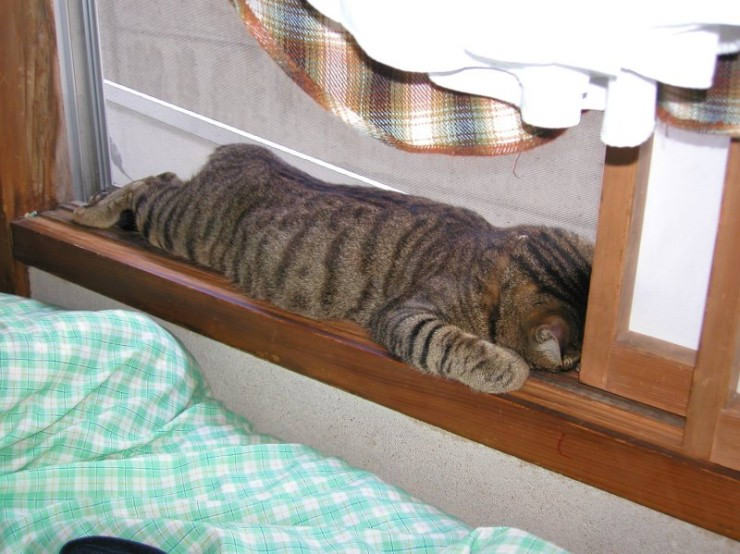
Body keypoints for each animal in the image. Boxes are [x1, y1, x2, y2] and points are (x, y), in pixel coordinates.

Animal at [72, 143, 592, 394]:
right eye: (573, 361)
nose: (578, 368)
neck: (498, 254)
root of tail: (242, 152)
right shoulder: (405, 315)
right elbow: (448, 344)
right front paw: (505, 367)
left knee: (161, 179)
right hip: (182, 225)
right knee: (149, 185)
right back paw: (90, 211)